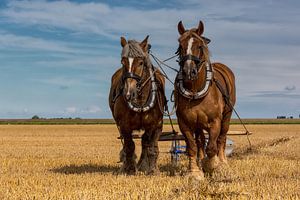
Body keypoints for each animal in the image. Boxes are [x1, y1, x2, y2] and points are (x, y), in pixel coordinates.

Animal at [109, 36, 165, 175]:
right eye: (123, 62)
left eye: (140, 62)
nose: (129, 92)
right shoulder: (124, 125)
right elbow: (129, 146)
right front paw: (129, 169)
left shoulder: (153, 124)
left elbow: (150, 147)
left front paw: (152, 170)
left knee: (146, 142)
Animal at [175, 20, 236, 180]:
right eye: (180, 46)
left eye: (200, 46)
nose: (188, 72)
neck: (195, 90)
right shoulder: (184, 123)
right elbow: (192, 147)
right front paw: (195, 172)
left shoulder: (215, 122)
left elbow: (212, 147)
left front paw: (212, 166)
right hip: (198, 123)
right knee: (200, 141)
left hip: (226, 115)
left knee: (222, 138)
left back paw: (222, 163)